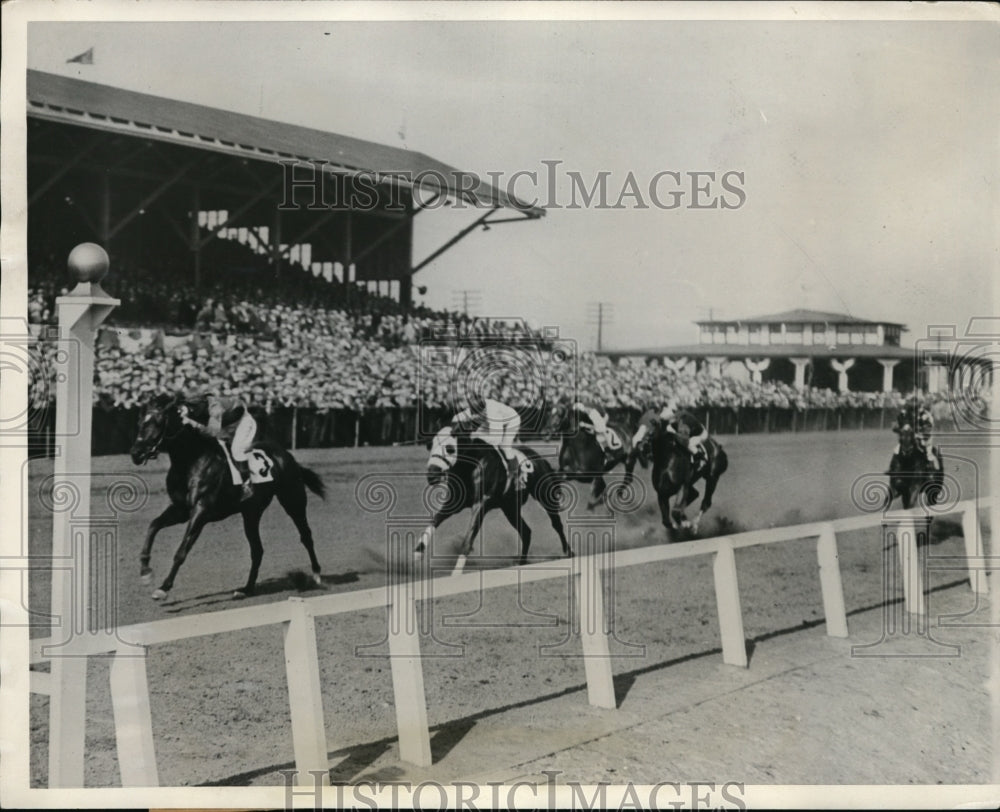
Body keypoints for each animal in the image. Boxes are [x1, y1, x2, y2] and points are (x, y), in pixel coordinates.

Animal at [131, 396, 326, 600]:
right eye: (140, 422)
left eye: (158, 423)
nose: (136, 453)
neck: (191, 461)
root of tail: (287, 456)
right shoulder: (181, 510)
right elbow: (153, 525)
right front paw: (145, 571)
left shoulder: (201, 511)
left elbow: (181, 551)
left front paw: (163, 587)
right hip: (251, 513)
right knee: (257, 550)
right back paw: (246, 589)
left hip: (293, 500)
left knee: (306, 536)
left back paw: (316, 575)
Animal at [414, 428, 572, 576]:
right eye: (431, 445)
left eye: (450, 448)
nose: (432, 475)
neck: (471, 466)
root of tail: (541, 459)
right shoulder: (453, 504)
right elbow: (434, 521)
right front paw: (418, 552)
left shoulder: (480, 506)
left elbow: (468, 540)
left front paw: (456, 574)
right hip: (510, 508)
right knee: (526, 532)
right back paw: (522, 561)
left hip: (544, 496)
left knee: (556, 524)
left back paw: (568, 552)